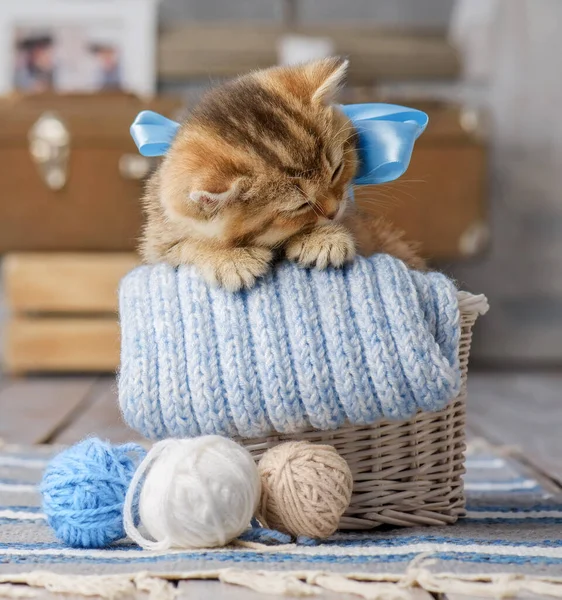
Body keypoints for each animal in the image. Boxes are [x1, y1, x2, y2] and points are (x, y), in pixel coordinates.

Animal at [141, 57, 424, 290]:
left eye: (336, 171)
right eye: (299, 206)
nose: (334, 211)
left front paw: (323, 238)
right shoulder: (156, 245)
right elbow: (182, 246)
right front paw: (228, 257)